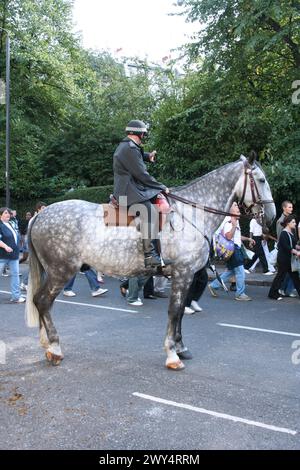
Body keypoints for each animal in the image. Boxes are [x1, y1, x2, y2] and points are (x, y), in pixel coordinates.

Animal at [25, 156, 274, 370]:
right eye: (261, 180)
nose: (271, 216)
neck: (191, 214)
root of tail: (40, 215)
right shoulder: (183, 273)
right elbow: (174, 311)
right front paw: (172, 354)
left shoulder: (186, 275)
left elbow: (180, 311)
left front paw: (181, 347)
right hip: (61, 271)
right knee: (43, 301)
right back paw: (55, 348)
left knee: (41, 302)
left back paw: (46, 344)